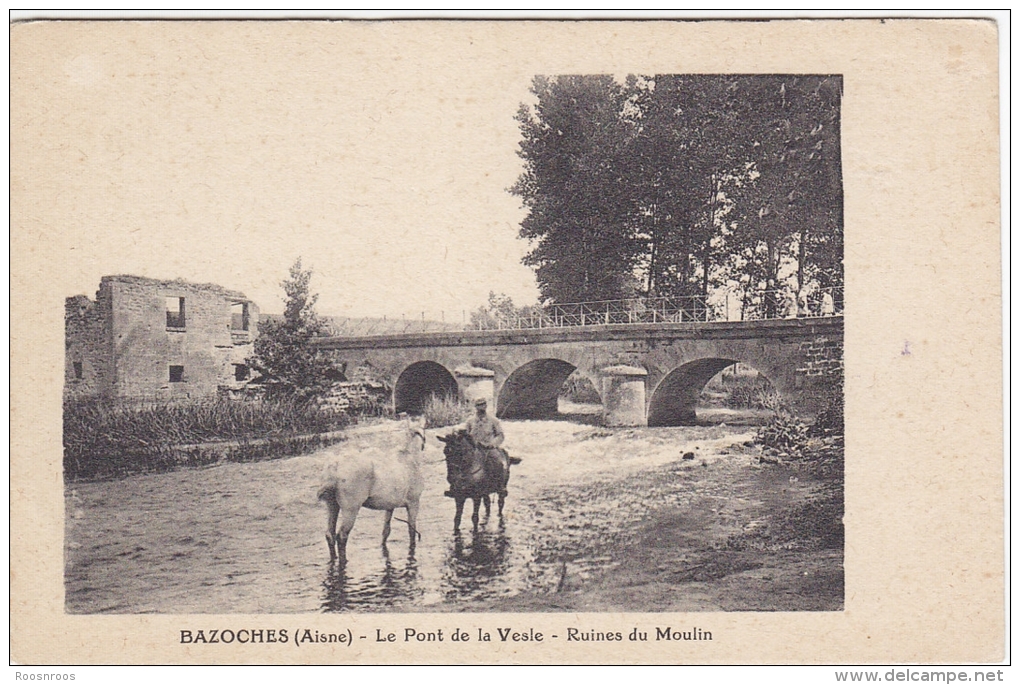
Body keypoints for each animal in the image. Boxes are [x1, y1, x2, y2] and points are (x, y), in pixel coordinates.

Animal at [316, 417, 424, 562]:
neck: (408, 458)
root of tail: (335, 466)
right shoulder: (413, 503)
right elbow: (411, 530)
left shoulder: (390, 506)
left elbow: (386, 531)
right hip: (350, 510)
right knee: (342, 536)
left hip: (332, 506)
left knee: (330, 534)